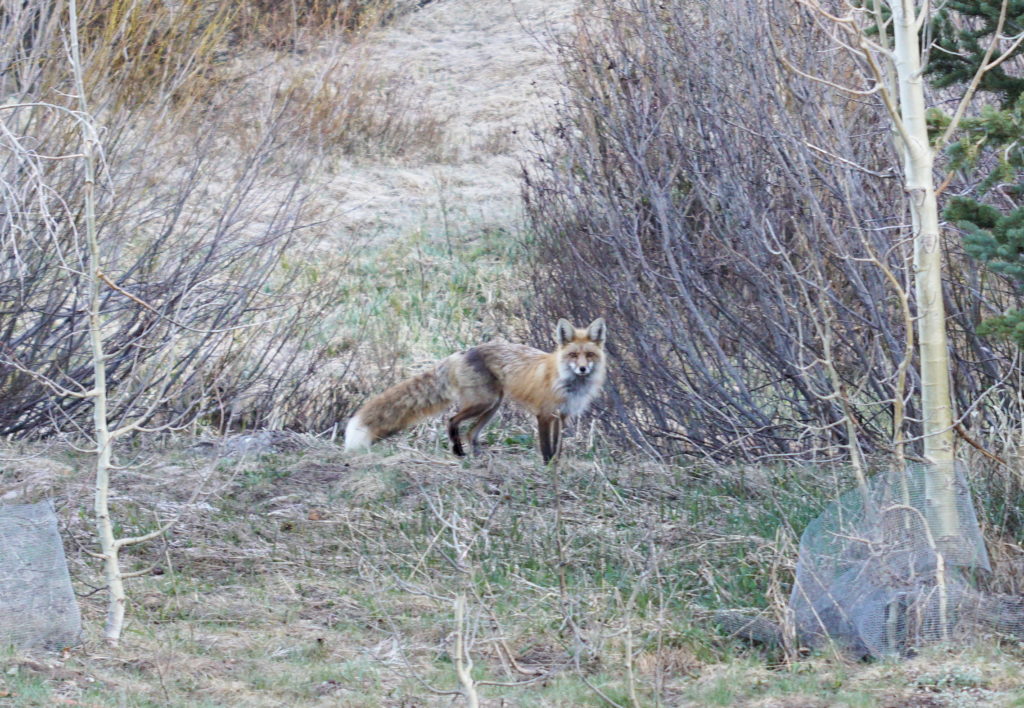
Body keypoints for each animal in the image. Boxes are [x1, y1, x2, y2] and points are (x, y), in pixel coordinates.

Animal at [344, 317, 602, 463]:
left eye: (589, 355)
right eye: (573, 355)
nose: (582, 368)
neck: (569, 384)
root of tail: (459, 353)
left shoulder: (562, 416)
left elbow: (558, 446)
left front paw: (557, 465)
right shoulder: (544, 414)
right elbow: (547, 446)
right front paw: (548, 466)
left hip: (492, 406)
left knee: (470, 433)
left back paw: (477, 457)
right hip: (483, 403)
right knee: (451, 420)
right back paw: (459, 453)